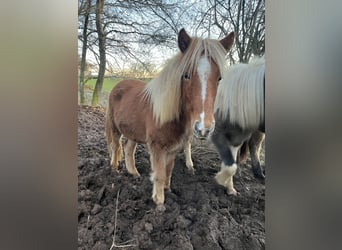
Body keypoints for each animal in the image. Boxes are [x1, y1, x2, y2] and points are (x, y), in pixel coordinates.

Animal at [104, 28, 235, 208]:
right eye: (186, 75)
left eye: (219, 78)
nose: (203, 128)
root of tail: (118, 85)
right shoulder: (157, 147)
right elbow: (159, 173)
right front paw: (159, 203)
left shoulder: (173, 148)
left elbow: (168, 171)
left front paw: (168, 191)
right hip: (114, 127)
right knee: (115, 146)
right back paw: (114, 170)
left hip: (133, 132)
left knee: (128, 149)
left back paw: (134, 173)